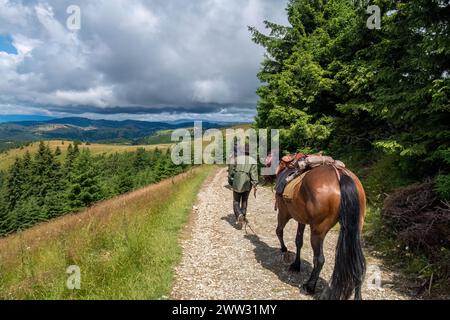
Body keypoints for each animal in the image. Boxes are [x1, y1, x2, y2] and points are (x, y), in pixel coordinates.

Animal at [268, 158, 366, 300]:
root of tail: (340, 174)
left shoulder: (283, 213)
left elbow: (279, 231)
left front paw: (284, 250)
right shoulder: (301, 220)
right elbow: (298, 241)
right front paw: (296, 265)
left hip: (317, 231)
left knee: (319, 259)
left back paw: (309, 286)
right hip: (356, 229)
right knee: (357, 263)